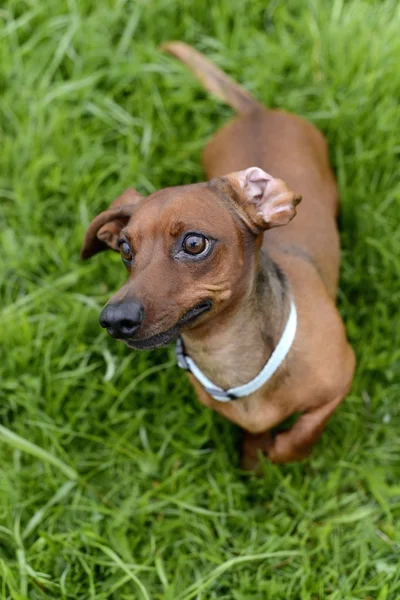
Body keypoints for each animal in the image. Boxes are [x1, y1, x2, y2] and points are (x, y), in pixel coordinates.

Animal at [80, 42, 354, 468]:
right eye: (125, 249)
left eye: (194, 244)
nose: (114, 319)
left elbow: (300, 436)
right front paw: (254, 457)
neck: (227, 359)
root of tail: (256, 111)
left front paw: (281, 452)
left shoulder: (341, 381)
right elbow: (254, 434)